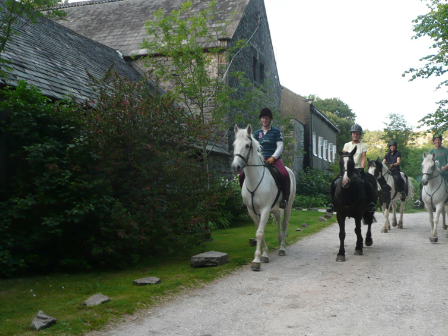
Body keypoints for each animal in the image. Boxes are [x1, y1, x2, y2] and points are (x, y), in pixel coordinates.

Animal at [231, 124, 298, 272]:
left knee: (284, 223)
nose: (236, 167)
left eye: (247, 145)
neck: (254, 180)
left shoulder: (265, 209)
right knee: (278, 218)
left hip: (288, 205)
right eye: (234, 144)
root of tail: (290, 171)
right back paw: (279, 240)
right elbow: (258, 231)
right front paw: (265, 254)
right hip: (275, 207)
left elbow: (260, 233)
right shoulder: (252, 211)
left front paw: (256, 260)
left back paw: (282, 247)